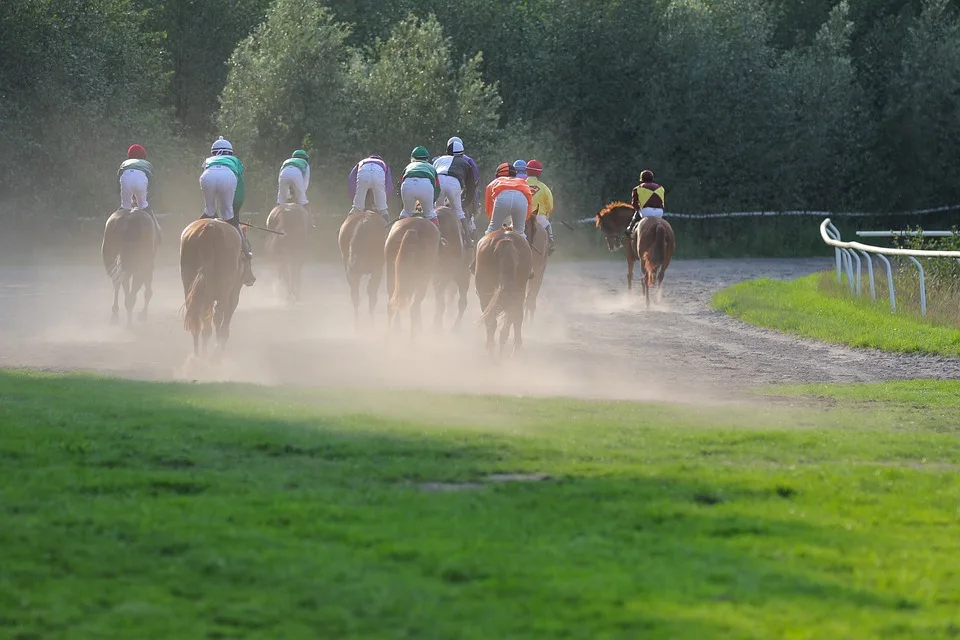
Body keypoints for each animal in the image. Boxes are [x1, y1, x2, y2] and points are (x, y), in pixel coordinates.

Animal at [179, 218, 244, 358]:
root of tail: (209, 229)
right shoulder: (234, 293)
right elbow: (226, 318)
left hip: (190, 288)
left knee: (198, 320)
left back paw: (197, 355)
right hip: (223, 290)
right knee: (216, 317)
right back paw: (213, 354)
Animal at [478, 228, 536, 356]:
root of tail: (506, 240)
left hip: (486, 293)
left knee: (493, 323)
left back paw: (492, 351)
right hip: (516, 294)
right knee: (510, 320)